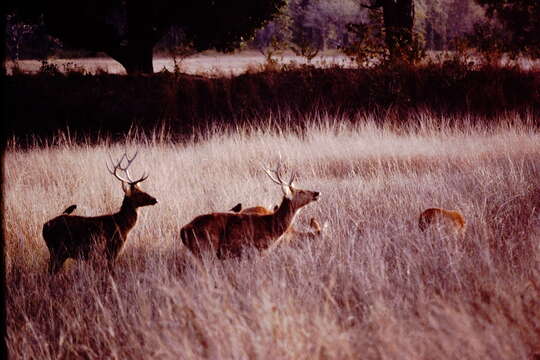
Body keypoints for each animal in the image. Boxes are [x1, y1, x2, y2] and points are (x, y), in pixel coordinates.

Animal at [180, 165, 320, 260]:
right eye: (300, 192)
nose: (317, 193)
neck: (271, 225)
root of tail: (182, 230)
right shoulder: (257, 248)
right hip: (206, 249)